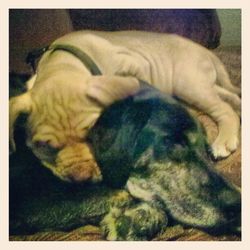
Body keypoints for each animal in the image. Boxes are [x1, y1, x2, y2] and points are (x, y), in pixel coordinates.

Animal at [9, 30, 240, 182]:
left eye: (95, 136)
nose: (82, 177)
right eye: (44, 147)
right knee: (231, 97)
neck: (63, 63)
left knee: (225, 109)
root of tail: (206, 51)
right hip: (200, 85)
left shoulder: (136, 65)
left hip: (188, 83)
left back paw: (224, 140)